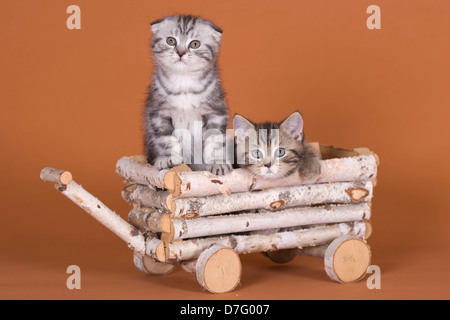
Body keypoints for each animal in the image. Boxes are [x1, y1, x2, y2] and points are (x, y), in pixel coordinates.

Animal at [144, 15, 232, 175]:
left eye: (195, 44)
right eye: (171, 41)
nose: (180, 52)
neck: (183, 84)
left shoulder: (216, 111)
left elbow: (214, 139)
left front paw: (217, 162)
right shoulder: (158, 113)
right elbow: (165, 138)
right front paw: (167, 158)